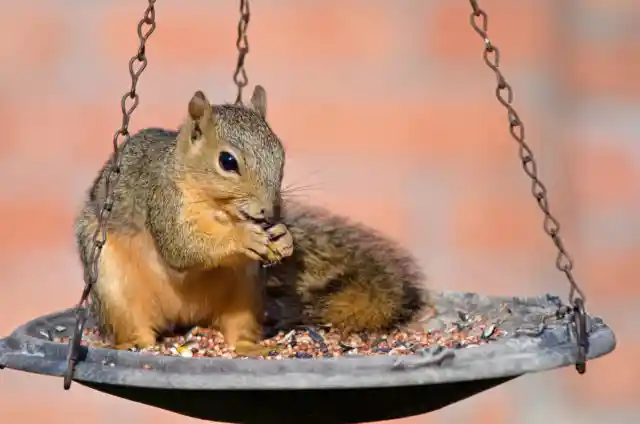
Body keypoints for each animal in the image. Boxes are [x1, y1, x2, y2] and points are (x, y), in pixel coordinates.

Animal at [75, 84, 430, 352]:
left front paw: (284, 237)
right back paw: (138, 344)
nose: (268, 211)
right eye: (227, 161)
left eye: (281, 156)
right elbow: (181, 248)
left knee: (238, 329)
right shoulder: (162, 202)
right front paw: (244, 237)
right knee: (132, 324)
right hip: (111, 285)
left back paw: (251, 348)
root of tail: (186, 319)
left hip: (245, 291)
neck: (221, 210)